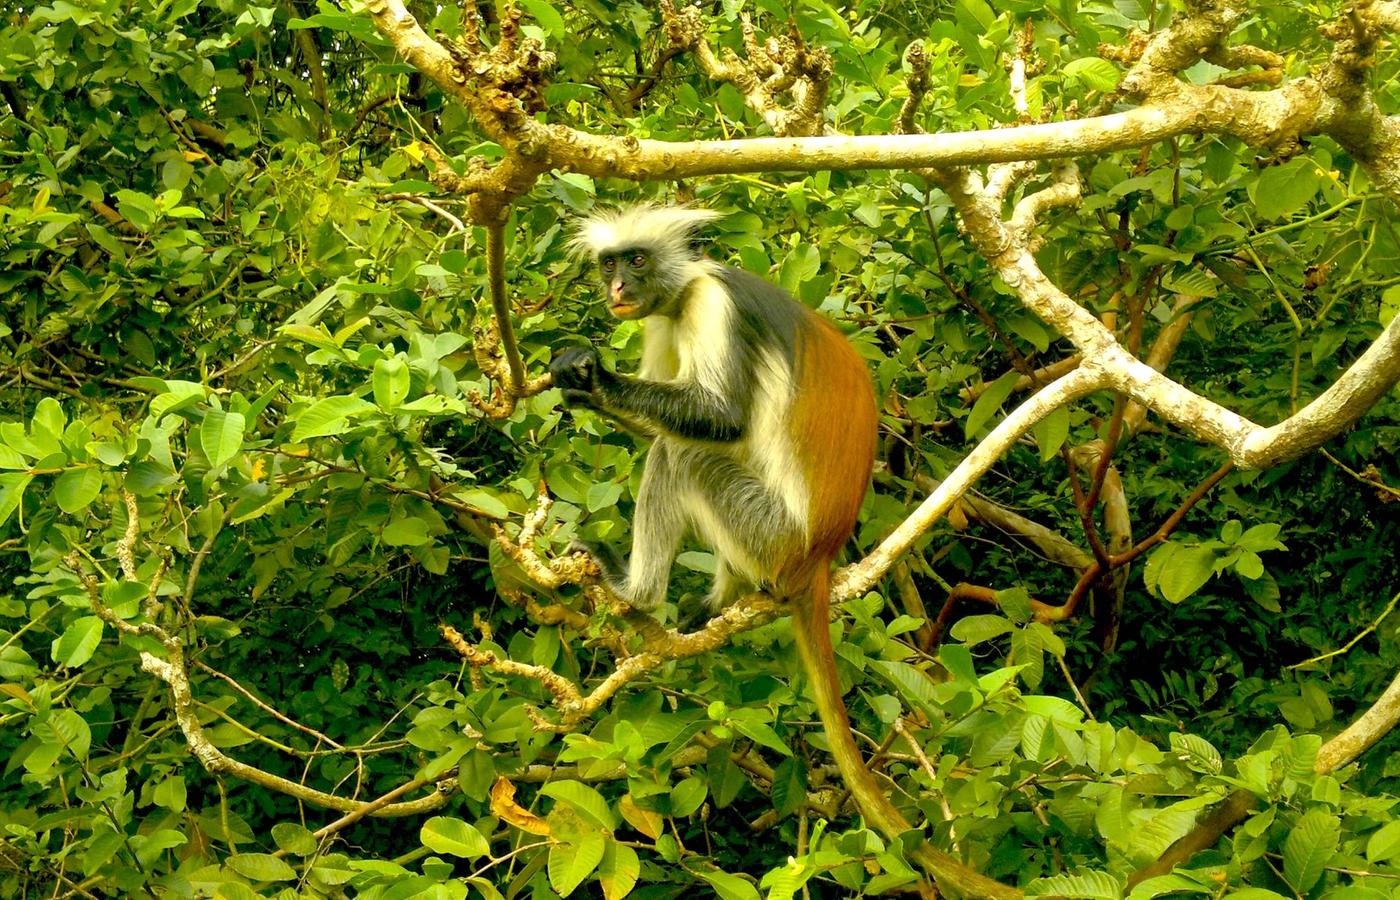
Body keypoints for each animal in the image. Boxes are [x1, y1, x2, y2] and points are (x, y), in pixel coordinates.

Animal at [550, 203, 891, 826]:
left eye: (638, 261)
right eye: (610, 264)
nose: (617, 288)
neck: (683, 291)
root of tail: (819, 555)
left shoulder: (714, 305)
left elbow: (722, 420)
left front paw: (596, 378)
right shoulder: (663, 320)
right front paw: (584, 389)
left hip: (769, 531)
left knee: (680, 454)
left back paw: (639, 593)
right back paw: (718, 600)